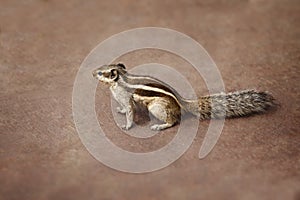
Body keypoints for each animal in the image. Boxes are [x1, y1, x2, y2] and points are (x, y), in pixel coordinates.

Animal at [92, 63, 276, 130]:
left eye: (101, 72)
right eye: (101, 68)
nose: (93, 72)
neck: (121, 79)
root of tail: (182, 102)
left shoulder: (125, 97)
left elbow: (130, 112)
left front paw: (127, 125)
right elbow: (125, 108)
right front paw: (120, 111)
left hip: (156, 107)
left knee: (173, 121)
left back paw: (160, 126)